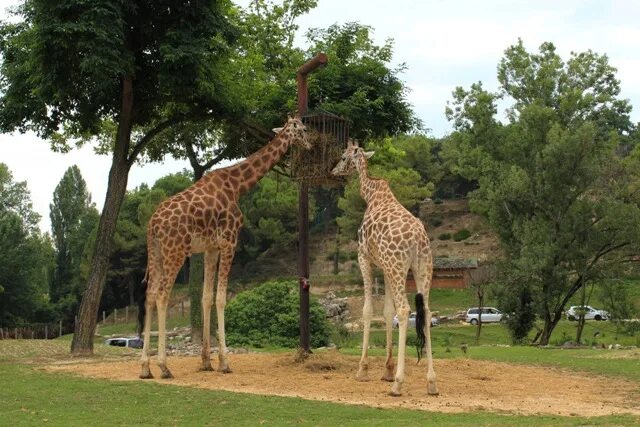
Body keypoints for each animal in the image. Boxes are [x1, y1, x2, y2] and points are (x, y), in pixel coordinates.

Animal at [139, 115, 310, 380]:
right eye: (302, 129)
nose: (311, 145)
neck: (237, 185)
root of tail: (153, 224)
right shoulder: (230, 241)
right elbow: (221, 298)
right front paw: (224, 362)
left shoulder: (211, 248)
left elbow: (206, 297)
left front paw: (206, 362)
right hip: (174, 251)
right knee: (162, 294)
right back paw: (164, 366)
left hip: (155, 252)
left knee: (149, 294)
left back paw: (145, 367)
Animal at [332, 140, 438, 398]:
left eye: (343, 157)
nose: (334, 171)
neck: (371, 196)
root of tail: (417, 239)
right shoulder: (385, 267)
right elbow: (387, 312)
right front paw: (386, 369)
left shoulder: (365, 258)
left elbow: (369, 310)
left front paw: (363, 370)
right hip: (421, 267)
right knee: (426, 311)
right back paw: (431, 382)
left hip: (398, 266)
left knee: (405, 310)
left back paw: (398, 384)